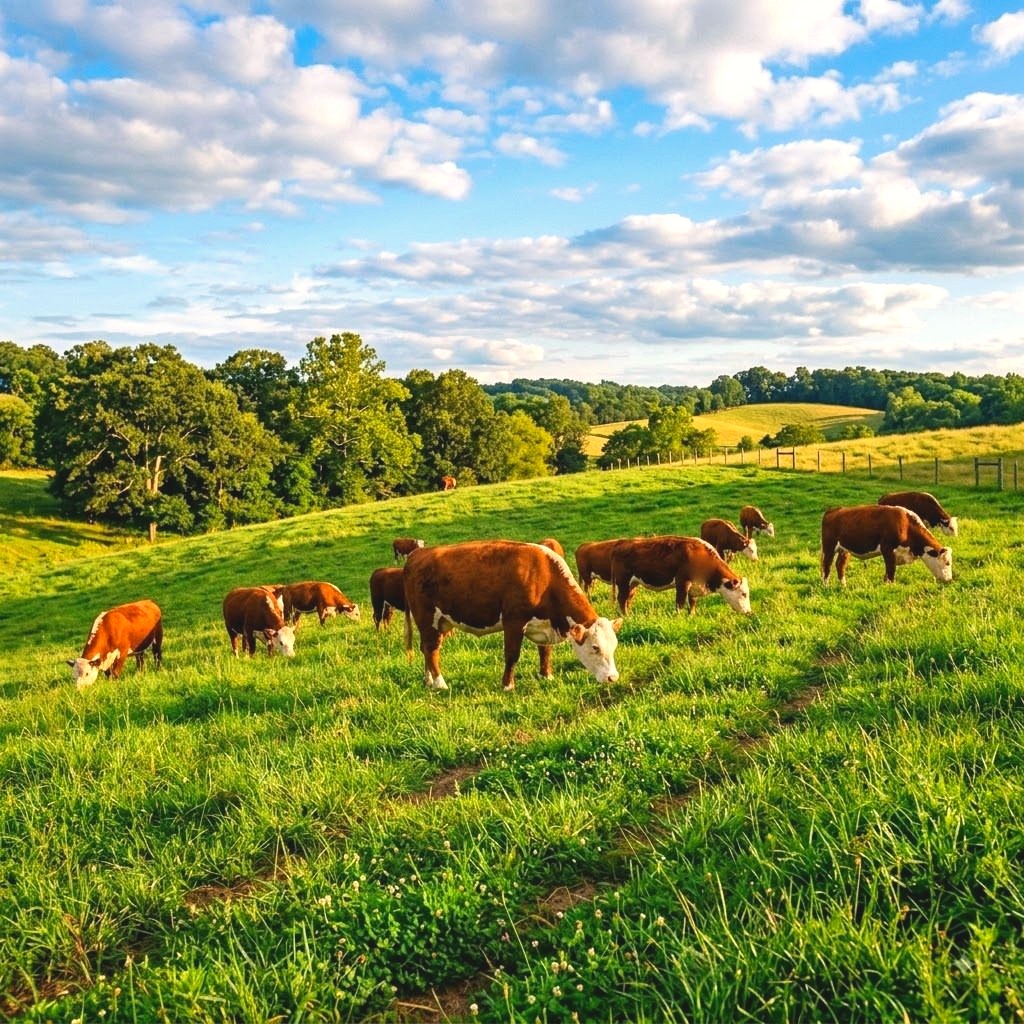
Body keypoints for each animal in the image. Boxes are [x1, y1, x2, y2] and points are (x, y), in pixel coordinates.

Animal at [403, 540, 622, 691]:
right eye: (595, 647)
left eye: (614, 646)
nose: (613, 677)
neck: (544, 578)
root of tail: (418, 554)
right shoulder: (513, 622)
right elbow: (512, 655)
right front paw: (507, 685)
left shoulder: (544, 625)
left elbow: (545, 651)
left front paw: (546, 675)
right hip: (427, 619)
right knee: (431, 649)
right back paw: (440, 683)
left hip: (439, 622)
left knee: (425, 649)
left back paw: (428, 680)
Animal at [609, 536, 752, 616]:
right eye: (744, 594)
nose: (749, 612)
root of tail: (620, 544)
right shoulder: (683, 581)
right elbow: (680, 603)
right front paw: (679, 617)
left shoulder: (695, 585)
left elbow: (692, 602)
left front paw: (691, 616)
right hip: (623, 581)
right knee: (622, 599)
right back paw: (626, 616)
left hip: (633, 583)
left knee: (628, 599)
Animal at [821, 505, 953, 585]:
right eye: (947, 563)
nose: (949, 579)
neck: (906, 525)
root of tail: (833, 510)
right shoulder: (887, 548)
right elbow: (891, 570)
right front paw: (890, 586)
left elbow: (888, 571)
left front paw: (885, 584)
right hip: (829, 547)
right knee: (827, 566)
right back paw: (826, 585)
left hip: (844, 549)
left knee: (840, 565)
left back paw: (843, 585)